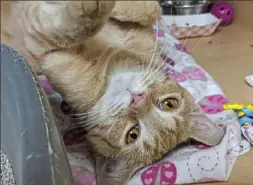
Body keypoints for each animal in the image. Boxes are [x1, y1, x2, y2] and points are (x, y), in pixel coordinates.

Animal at [0, 0, 224, 184]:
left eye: (133, 134)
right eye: (169, 104)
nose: (137, 99)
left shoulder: (44, 47)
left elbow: (73, 26)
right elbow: (151, 11)